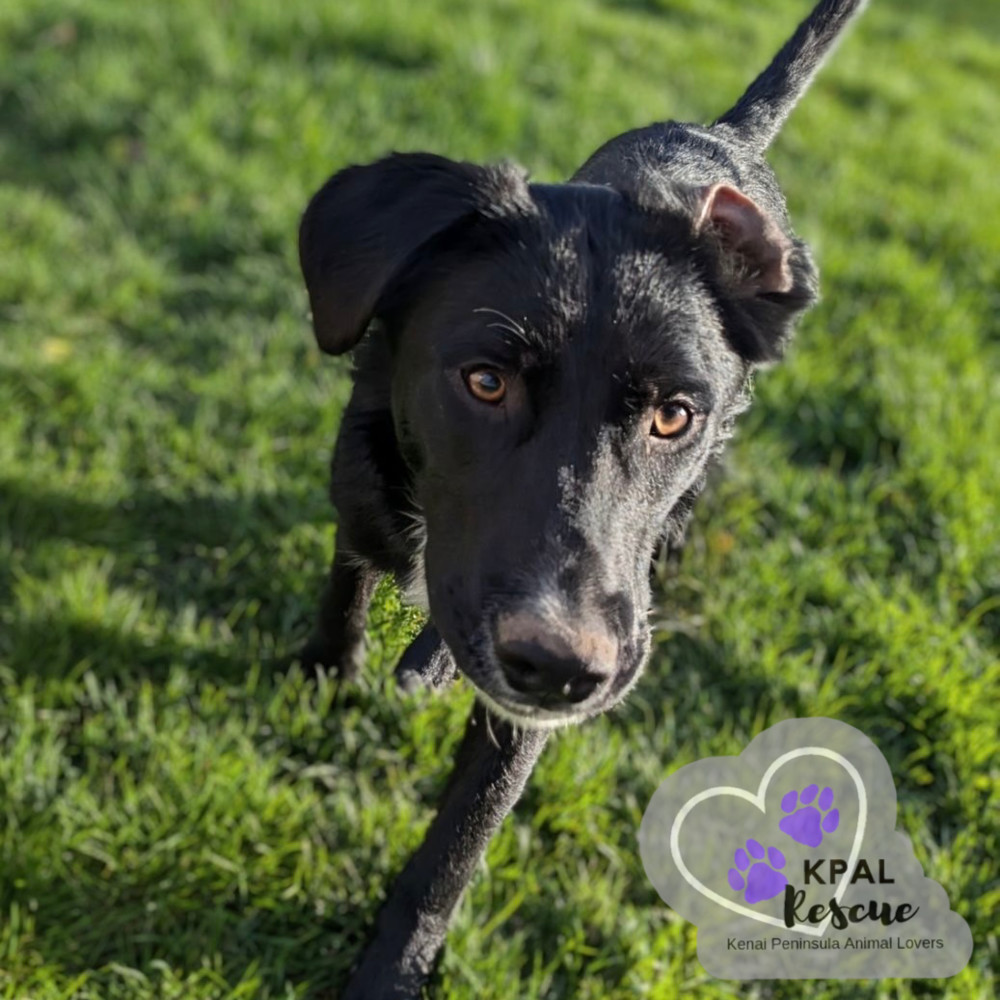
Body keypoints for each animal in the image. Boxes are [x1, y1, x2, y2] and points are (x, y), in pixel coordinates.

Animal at [296, 3, 868, 996]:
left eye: (674, 416)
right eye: (485, 381)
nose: (564, 670)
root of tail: (722, 135)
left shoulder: (575, 651)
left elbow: (459, 842)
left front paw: (392, 968)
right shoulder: (361, 494)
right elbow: (347, 580)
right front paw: (330, 668)